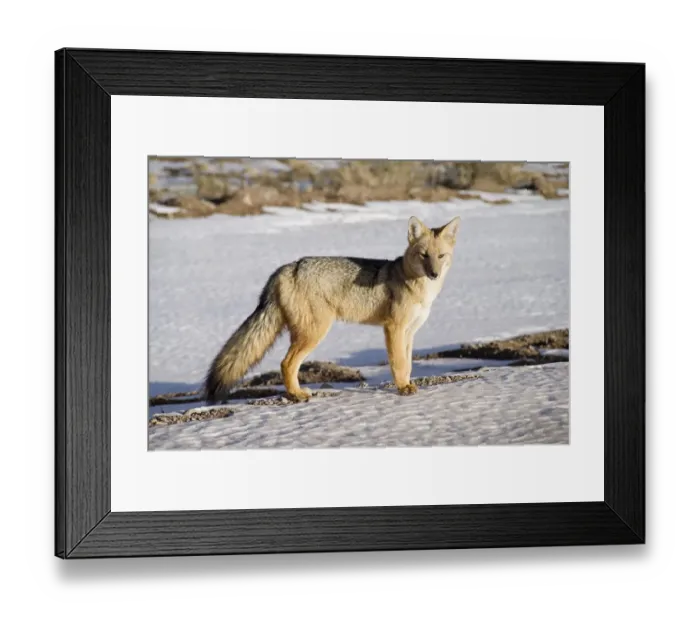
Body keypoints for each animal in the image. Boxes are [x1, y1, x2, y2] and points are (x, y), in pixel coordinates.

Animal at [204, 215, 460, 403]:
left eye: (440, 256)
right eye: (423, 255)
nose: (434, 274)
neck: (419, 289)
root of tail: (288, 267)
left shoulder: (409, 332)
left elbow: (407, 364)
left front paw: (407, 385)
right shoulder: (393, 329)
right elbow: (398, 363)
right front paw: (401, 389)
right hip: (314, 332)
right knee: (286, 364)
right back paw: (297, 395)